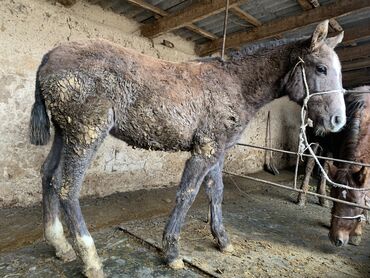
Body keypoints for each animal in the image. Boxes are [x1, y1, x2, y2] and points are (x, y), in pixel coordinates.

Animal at [30, 20, 346, 276]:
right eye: (321, 68)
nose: (338, 120)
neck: (236, 85)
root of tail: (47, 58)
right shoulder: (204, 150)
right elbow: (187, 193)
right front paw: (171, 252)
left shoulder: (217, 151)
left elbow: (216, 193)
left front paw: (223, 241)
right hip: (87, 133)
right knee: (68, 188)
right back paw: (91, 260)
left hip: (65, 133)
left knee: (49, 176)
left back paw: (60, 246)